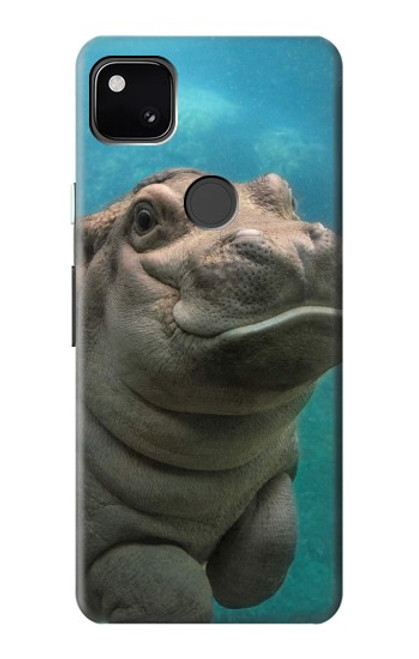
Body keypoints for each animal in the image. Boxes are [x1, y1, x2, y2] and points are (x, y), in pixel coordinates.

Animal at [76, 168, 341, 623]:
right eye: (143, 219)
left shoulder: (273, 471)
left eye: (285, 193)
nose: (298, 243)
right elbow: (175, 593)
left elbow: (270, 545)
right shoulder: (107, 540)